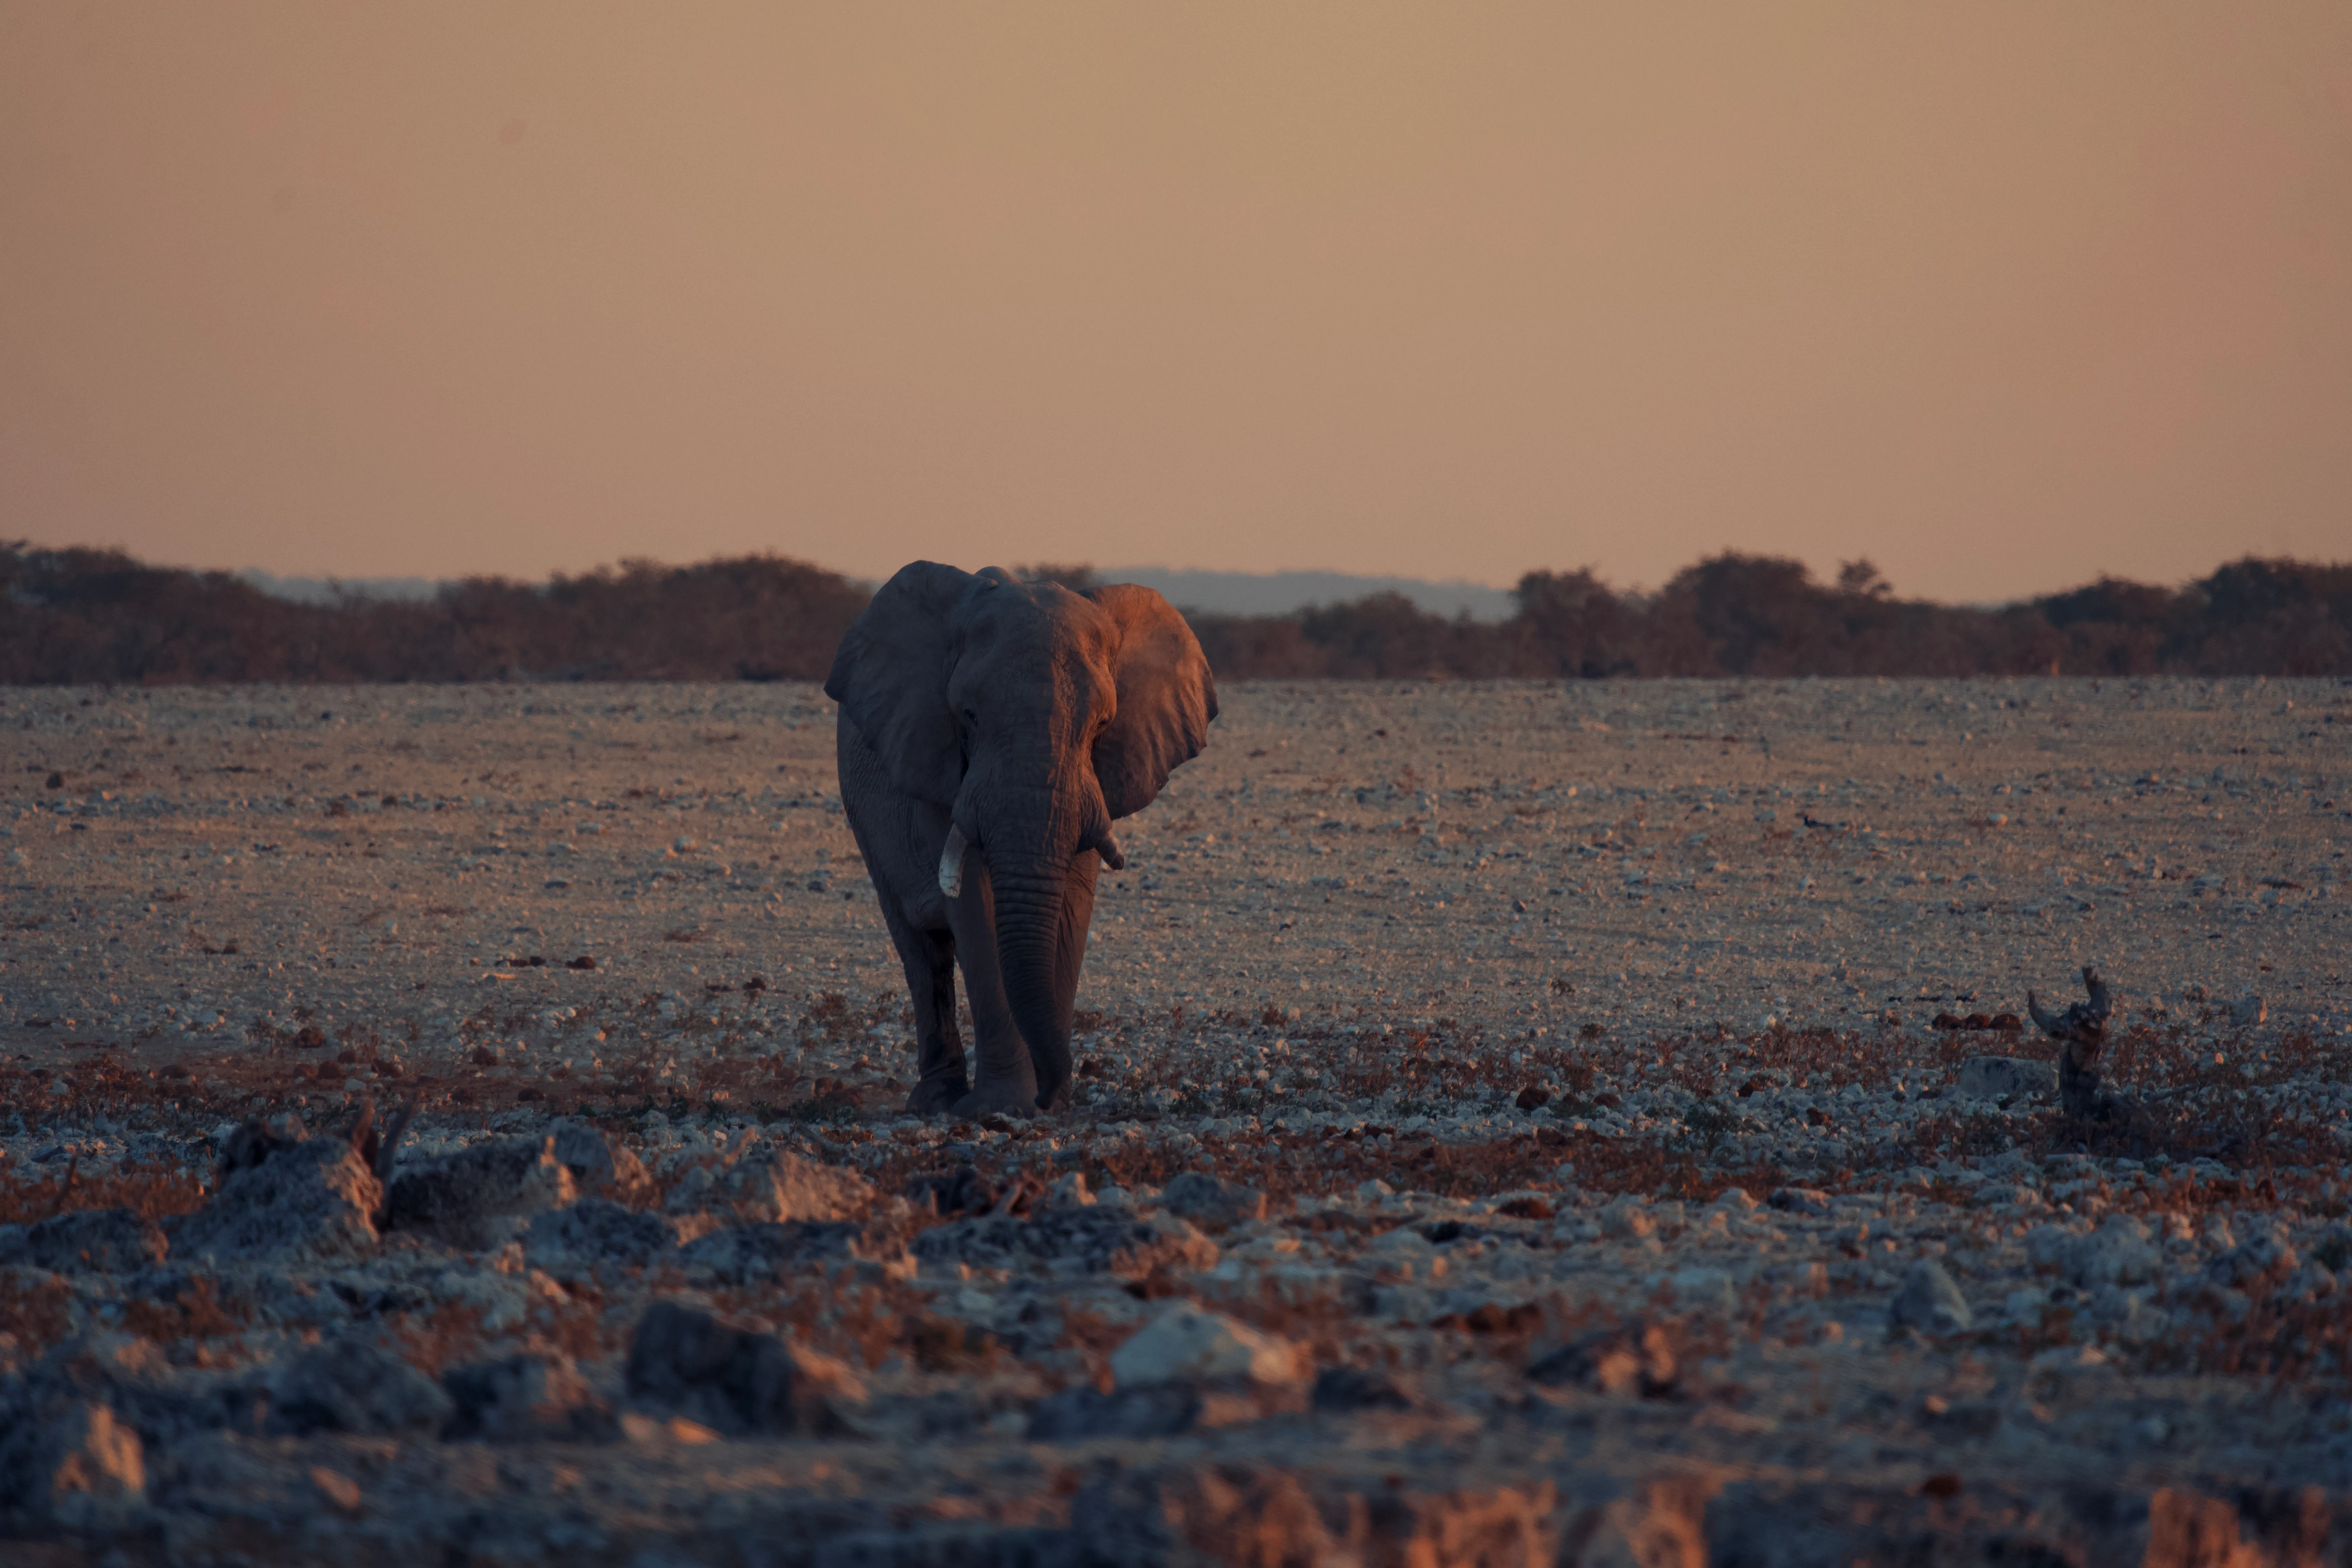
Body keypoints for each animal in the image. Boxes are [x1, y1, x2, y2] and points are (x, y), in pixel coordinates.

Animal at [824, 563, 1218, 1117]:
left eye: (1102, 724)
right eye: (968, 716)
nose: (1049, 1094)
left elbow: (1071, 907)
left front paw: (1051, 1104)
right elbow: (975, 905)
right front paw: (1001, 1106)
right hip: (866, 823)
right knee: (923, 953)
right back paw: (934, 1100)